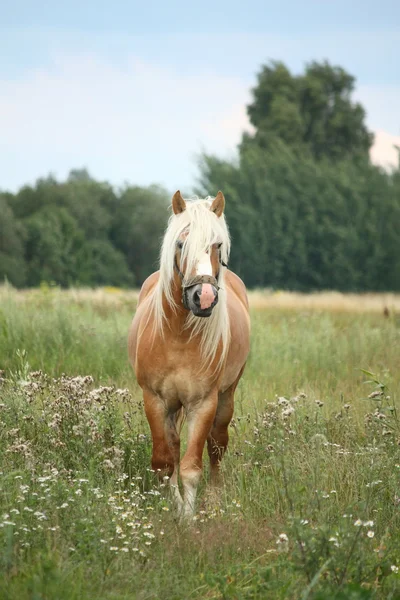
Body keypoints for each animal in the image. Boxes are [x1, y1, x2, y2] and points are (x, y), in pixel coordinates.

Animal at [128, 191, 250, 516]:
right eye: (181, 244)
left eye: (217, 245)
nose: (203, 297)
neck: (177, 335)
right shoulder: (155, 401)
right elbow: (164, 461)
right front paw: (172, 508)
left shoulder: (203, 403)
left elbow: (192, 467)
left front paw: (188, 517)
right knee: (173, 448)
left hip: (226, 396)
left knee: (217, 445)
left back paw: (215, 499)